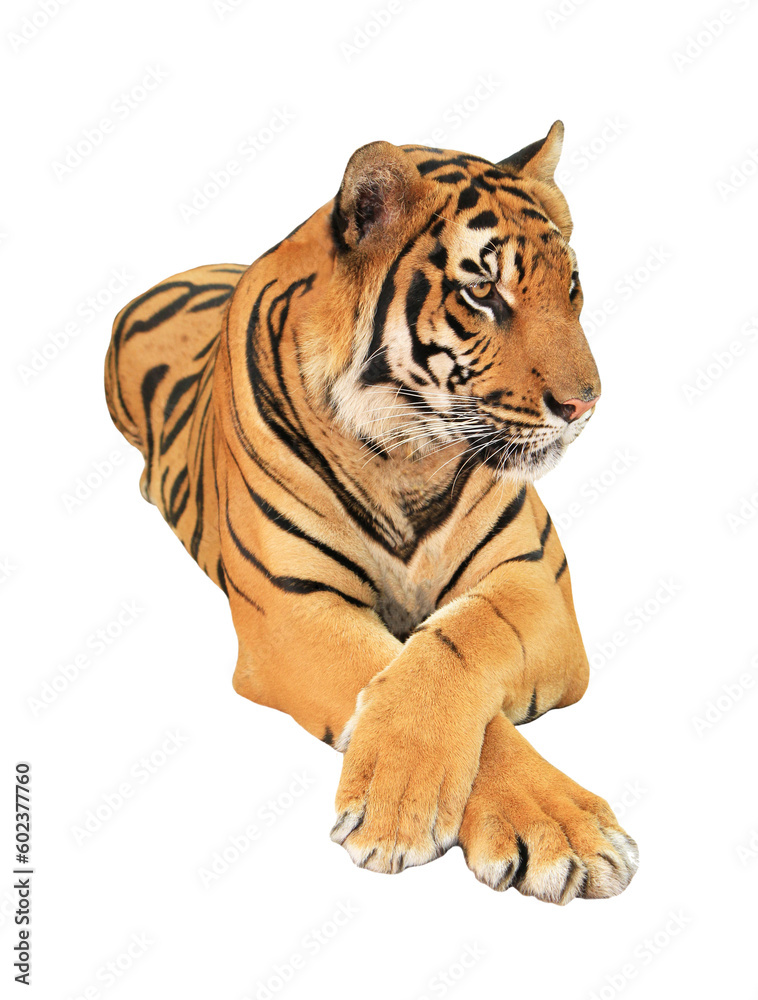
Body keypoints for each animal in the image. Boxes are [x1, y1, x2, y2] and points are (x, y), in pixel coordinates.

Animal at [104, 121, 639, 904]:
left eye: (569, 285)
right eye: (484, 291)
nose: (584, 405)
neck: (408, 455)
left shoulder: (532, 579)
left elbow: (454, 644)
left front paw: (556, 828)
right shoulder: (293, 609)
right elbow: (400, 674)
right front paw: (416, 808)